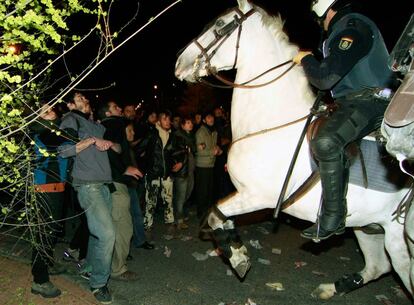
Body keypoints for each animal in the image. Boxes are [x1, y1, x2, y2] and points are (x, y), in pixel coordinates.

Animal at [176, 0, 412, 298]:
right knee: (376, 266)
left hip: (397, 238)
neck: (272, 121)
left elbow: (216, 215)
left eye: (219, 25)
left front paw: (238, 256)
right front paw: (237, 251)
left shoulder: (257, 196)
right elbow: (218, 215)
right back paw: (331, 288)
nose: (180, 62)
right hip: (367, 227)